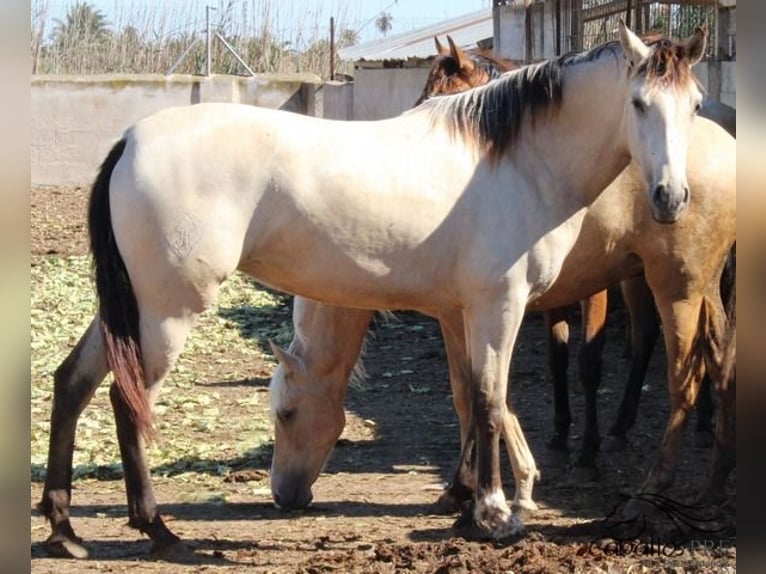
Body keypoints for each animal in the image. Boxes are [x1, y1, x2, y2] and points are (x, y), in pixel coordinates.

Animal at [37, 24, 708, 560]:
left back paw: (65, 530)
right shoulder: (496, 306)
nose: (670, 198)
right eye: (639, 103)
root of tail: (131, 140)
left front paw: (474, 505)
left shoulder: (464, 312)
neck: (516, 161)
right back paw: (157, 529)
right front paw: (494, 514)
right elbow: (489, 401)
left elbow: (473, 401)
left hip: (130, 310)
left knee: (73, 381)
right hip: (165, 313)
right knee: (127, 401)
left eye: (695, 105)